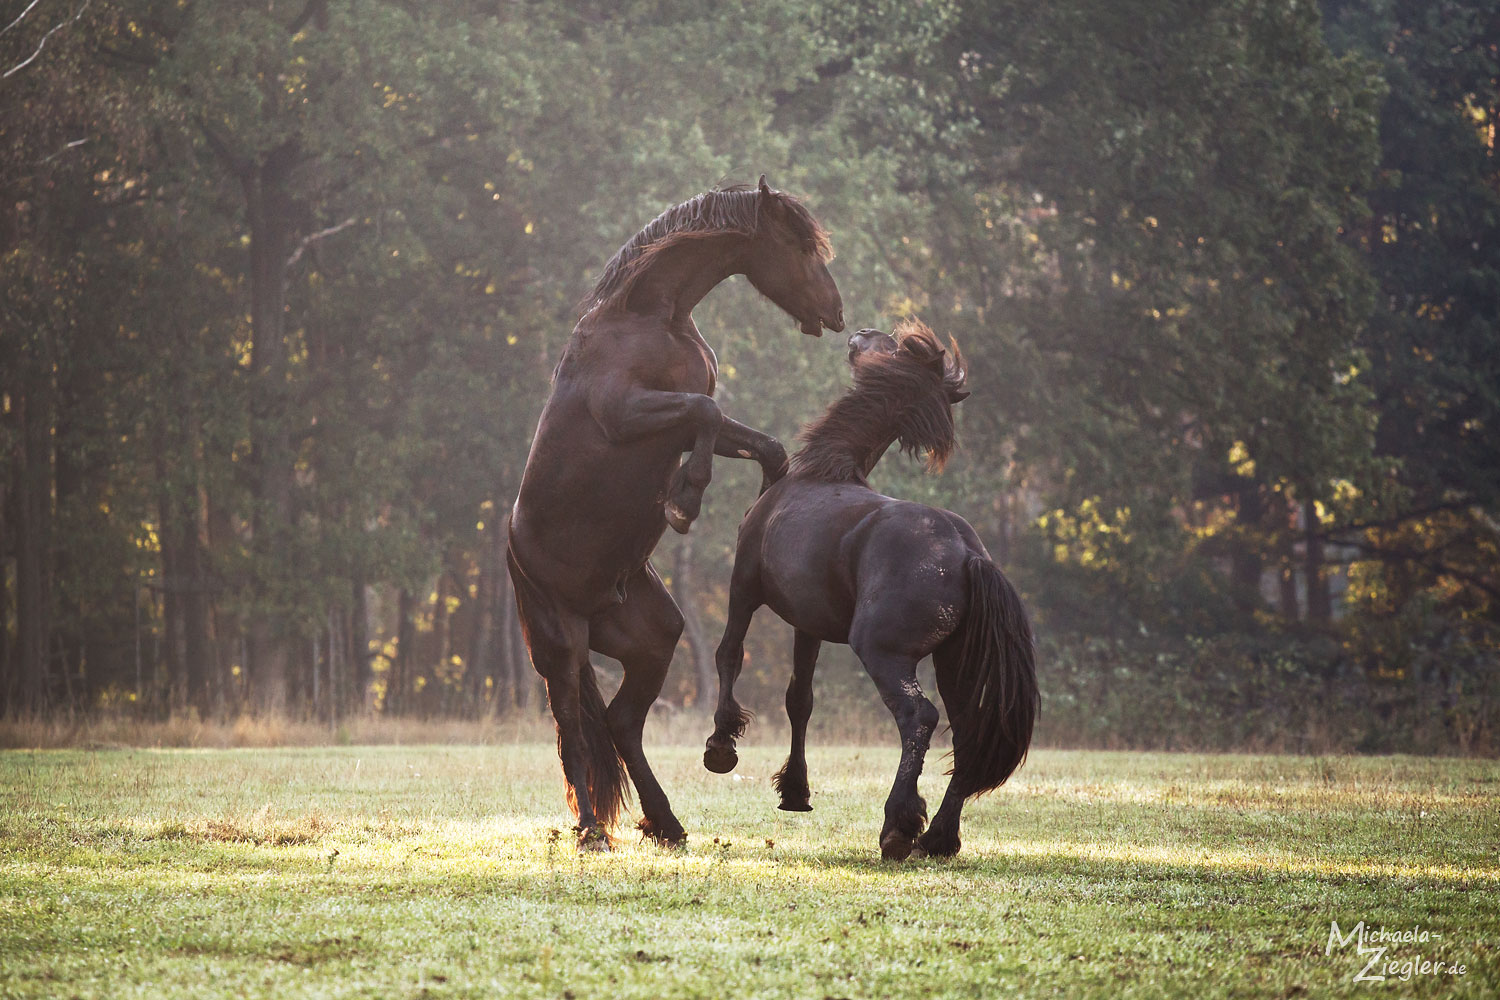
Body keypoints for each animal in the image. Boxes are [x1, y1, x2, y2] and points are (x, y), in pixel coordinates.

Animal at [510, 177, 846, 845]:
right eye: (798, 244)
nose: (836, 312)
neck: (647, 316)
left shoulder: (685, 419)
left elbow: (756, 441)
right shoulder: (630, 412)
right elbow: (706, 414)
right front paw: (685, 503)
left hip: (653, 639)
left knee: (619, 721)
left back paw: (665, 822)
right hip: (561, 643)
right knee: (572, 727)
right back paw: (592, 830)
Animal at [699, 319, 1032, 863]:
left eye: (892, 346)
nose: (861, 331)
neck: (817, 471)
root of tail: (967, 554)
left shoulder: (743, 586)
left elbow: (730, 654)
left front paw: (721, 746)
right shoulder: (806, 623)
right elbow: (800, 699)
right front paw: (795, 792)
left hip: (882, 652)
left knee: (918, 717)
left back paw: (899, 826)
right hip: (954, 663)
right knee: (966, 732)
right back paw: (939, 838)